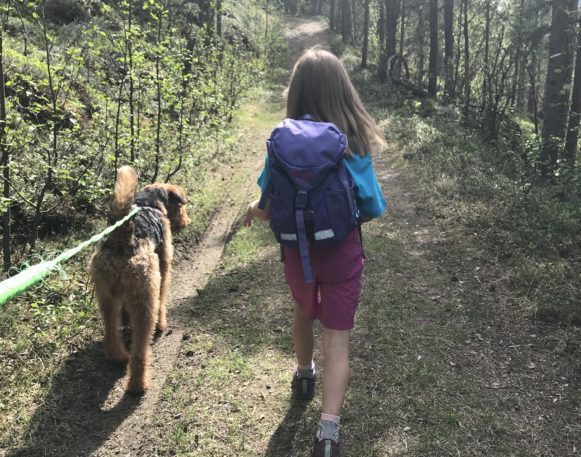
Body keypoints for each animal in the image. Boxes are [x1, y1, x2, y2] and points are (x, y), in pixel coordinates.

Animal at [89, 166, 190, 394]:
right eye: (181, 205)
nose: (186, 221)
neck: (150, 203)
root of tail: (120, 236)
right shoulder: (163, 266)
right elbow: (162, 298)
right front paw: (162, 323)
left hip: (106, 297)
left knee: (110, 332)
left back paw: (118, 357)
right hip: (144, 293)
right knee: (140, 350)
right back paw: (138, 385)